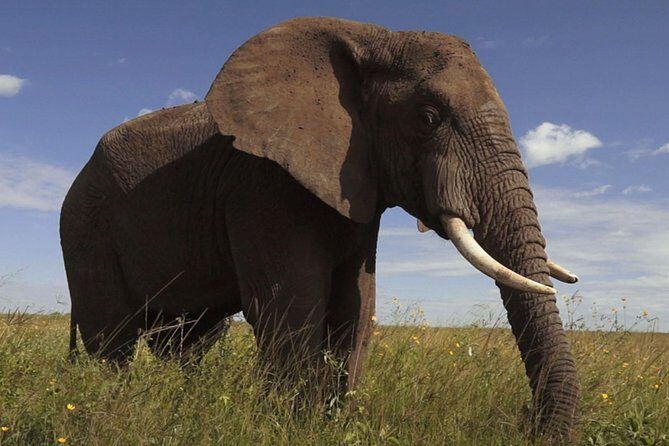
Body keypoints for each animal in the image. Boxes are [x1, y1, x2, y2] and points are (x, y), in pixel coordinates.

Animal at [60, 17, 580, 440]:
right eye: (428, 119)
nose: (529, 424)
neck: (372, 39)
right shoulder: (263, 187)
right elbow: (290, 306)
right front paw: (291, 427)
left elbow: (357, 305)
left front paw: (331, 424)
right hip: (86, 227)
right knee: (113, 339)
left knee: (190, 341)